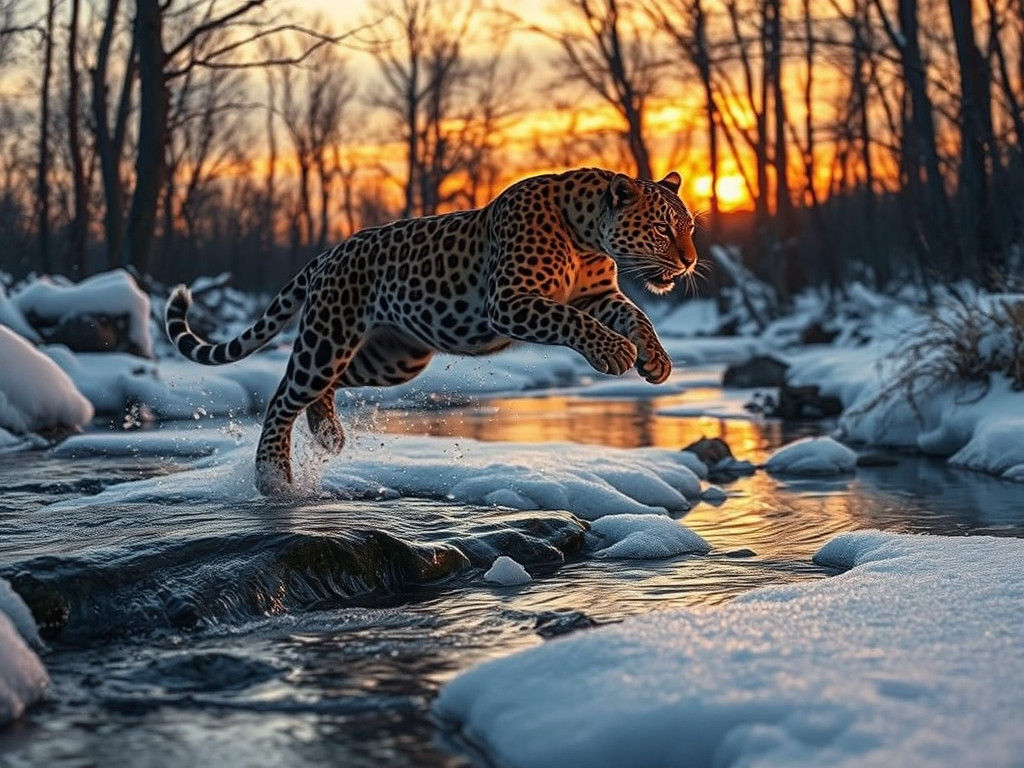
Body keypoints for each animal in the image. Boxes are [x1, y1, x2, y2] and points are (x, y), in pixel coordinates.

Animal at [165, 167, 699, 495]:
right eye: (662, 229)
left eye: (689, 227)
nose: (690, 261)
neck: (588, 236)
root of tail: (327, 254)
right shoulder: (510, 301)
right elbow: (573, 320)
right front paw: (615, 354)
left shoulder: (599, 296)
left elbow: (638, 317)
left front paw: (656, 360)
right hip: (329, 335)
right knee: (283, 395)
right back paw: (273, 476)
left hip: (394, 357)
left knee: (324, 385)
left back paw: (328, 433)